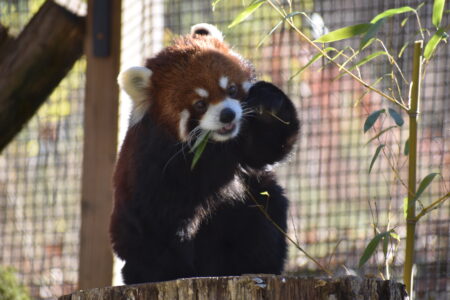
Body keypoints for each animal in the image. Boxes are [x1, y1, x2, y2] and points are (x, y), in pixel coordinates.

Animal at [110, 22, 298, 284]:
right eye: (200, 104)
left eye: (231, 89)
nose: (228, 115)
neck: (211, 147)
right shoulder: (153, 167)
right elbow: (162, 223)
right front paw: (170, 270)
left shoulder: (240, 144)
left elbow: (264, 151)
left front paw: (269, 102)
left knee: (266, 201)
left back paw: (258, 265)